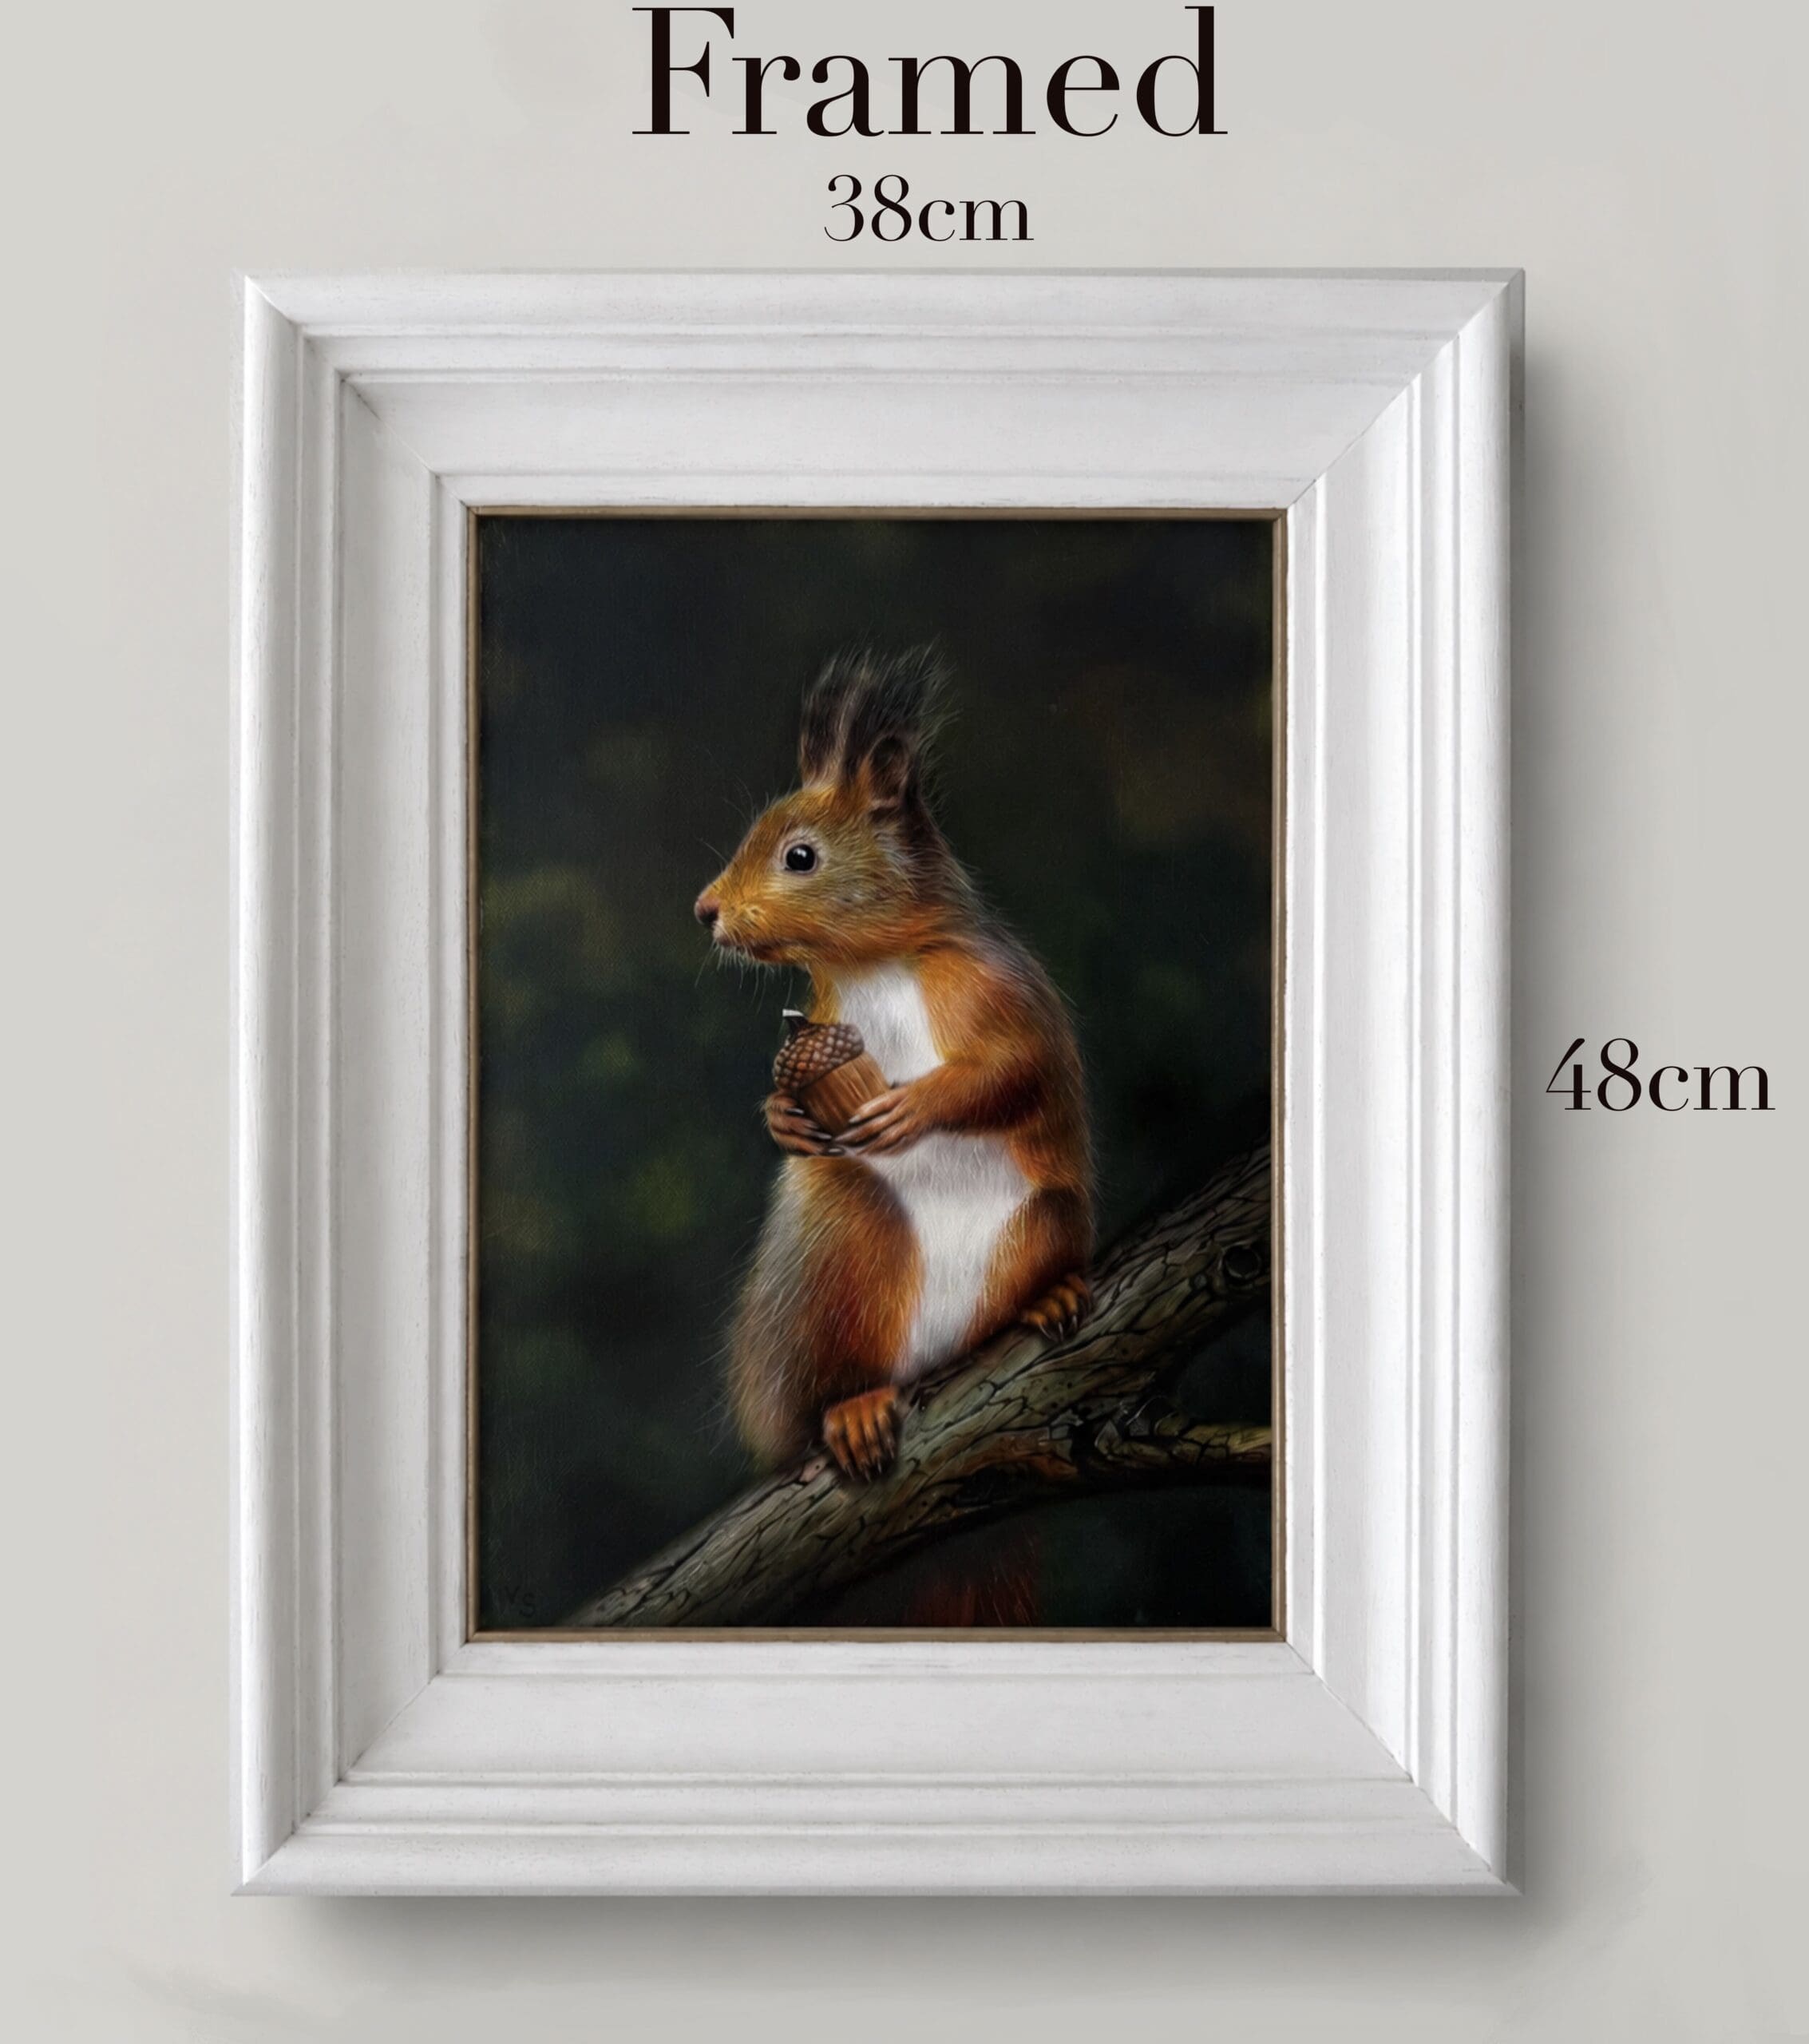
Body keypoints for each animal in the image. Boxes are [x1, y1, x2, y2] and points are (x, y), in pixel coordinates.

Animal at [694, 648, 1095, 1532]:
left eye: (800, 856)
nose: (704, 910)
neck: (871, 964)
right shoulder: (824, 1016)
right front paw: (784, 1119)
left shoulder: (1002, 994)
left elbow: (1013, 1071)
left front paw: (915, 1106)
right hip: (839, 1254)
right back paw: (851, 1409)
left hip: (1048, 1218)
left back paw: (1047, 1299)